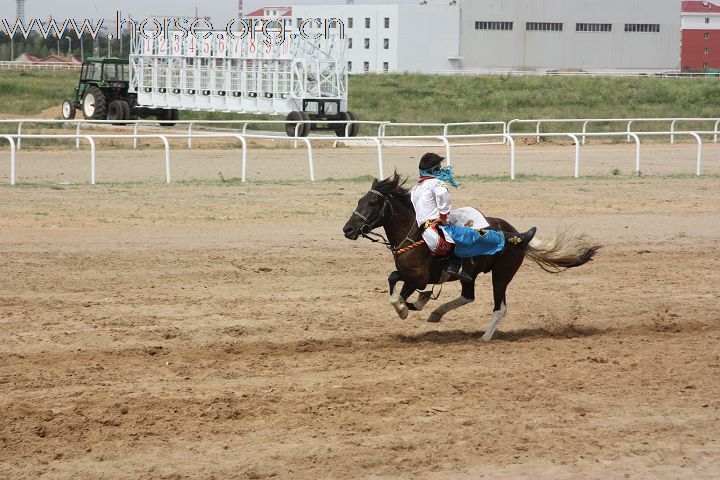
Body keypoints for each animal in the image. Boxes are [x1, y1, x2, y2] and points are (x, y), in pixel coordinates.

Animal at [344, 172, 600, 342]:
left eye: (373, 202)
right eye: (359, 201)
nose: (348, 229)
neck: (415, 236)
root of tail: (516, 235)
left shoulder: (418, 278)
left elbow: (399, 294)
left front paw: (405, 308)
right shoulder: (410, 275)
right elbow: (392, 279)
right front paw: (418, 302)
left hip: (501, 275)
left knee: (499, 307)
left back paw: (485, 337)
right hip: (472, 274)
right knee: (468, 296)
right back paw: (436, 313)